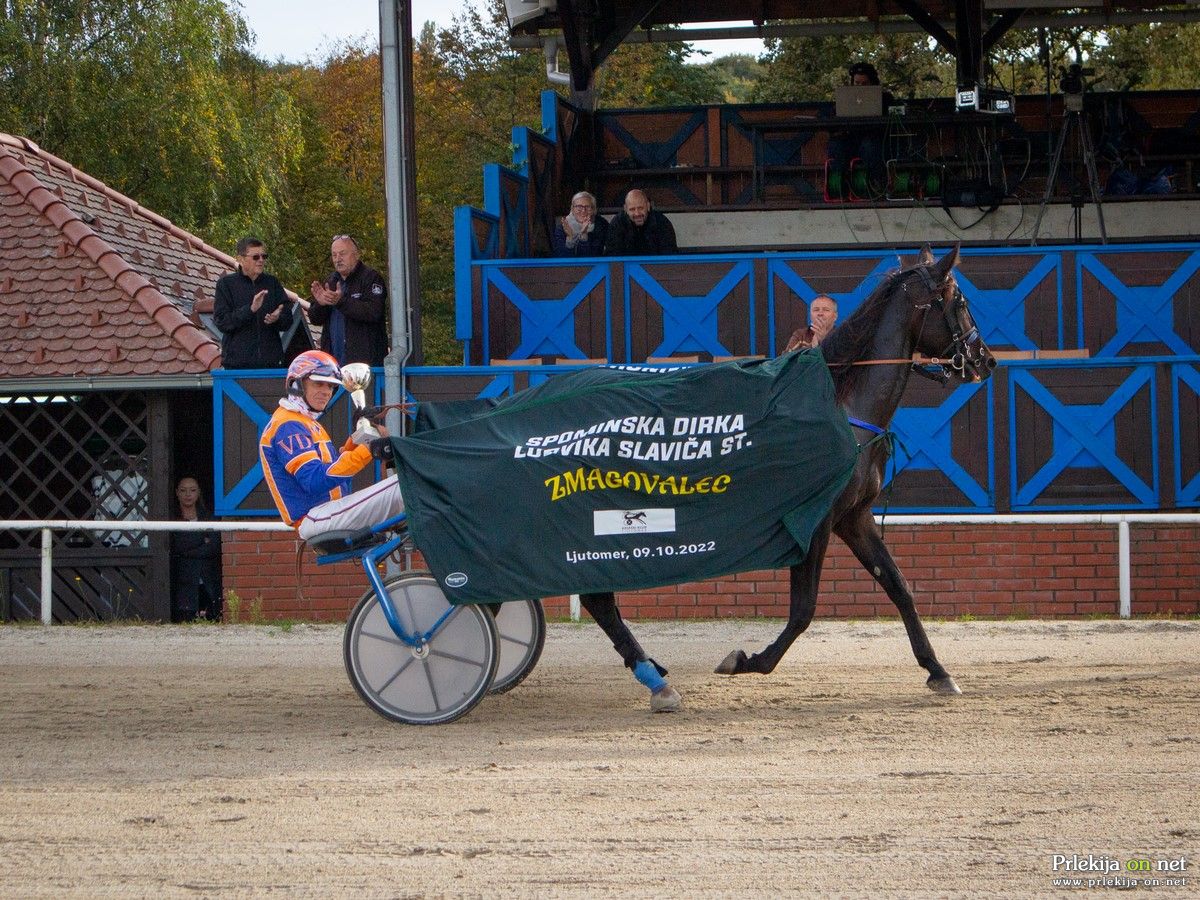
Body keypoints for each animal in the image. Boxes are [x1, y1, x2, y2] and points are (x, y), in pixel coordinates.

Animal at [578, 244, 996, 709]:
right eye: (960, 302)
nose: (986, 360)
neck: (841, 411)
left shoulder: (854, 518)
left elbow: (899, 586)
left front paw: (937, 670)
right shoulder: (813, 524)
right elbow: (803, 610)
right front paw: (747, 660)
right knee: (597, 597)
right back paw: (652, 675)